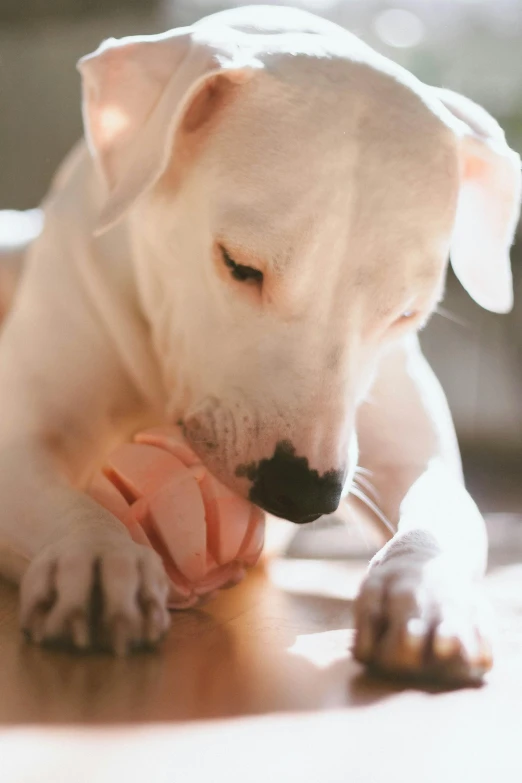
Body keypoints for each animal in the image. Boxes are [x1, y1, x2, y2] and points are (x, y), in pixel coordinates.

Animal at [0, 4, 512, 680]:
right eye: (238, 265)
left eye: (405, 315)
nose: (305, 494)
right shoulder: (23, 438)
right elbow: (70, 505)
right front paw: (93, 555)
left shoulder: (415, 460)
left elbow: (443, 517)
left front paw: (424, 589)